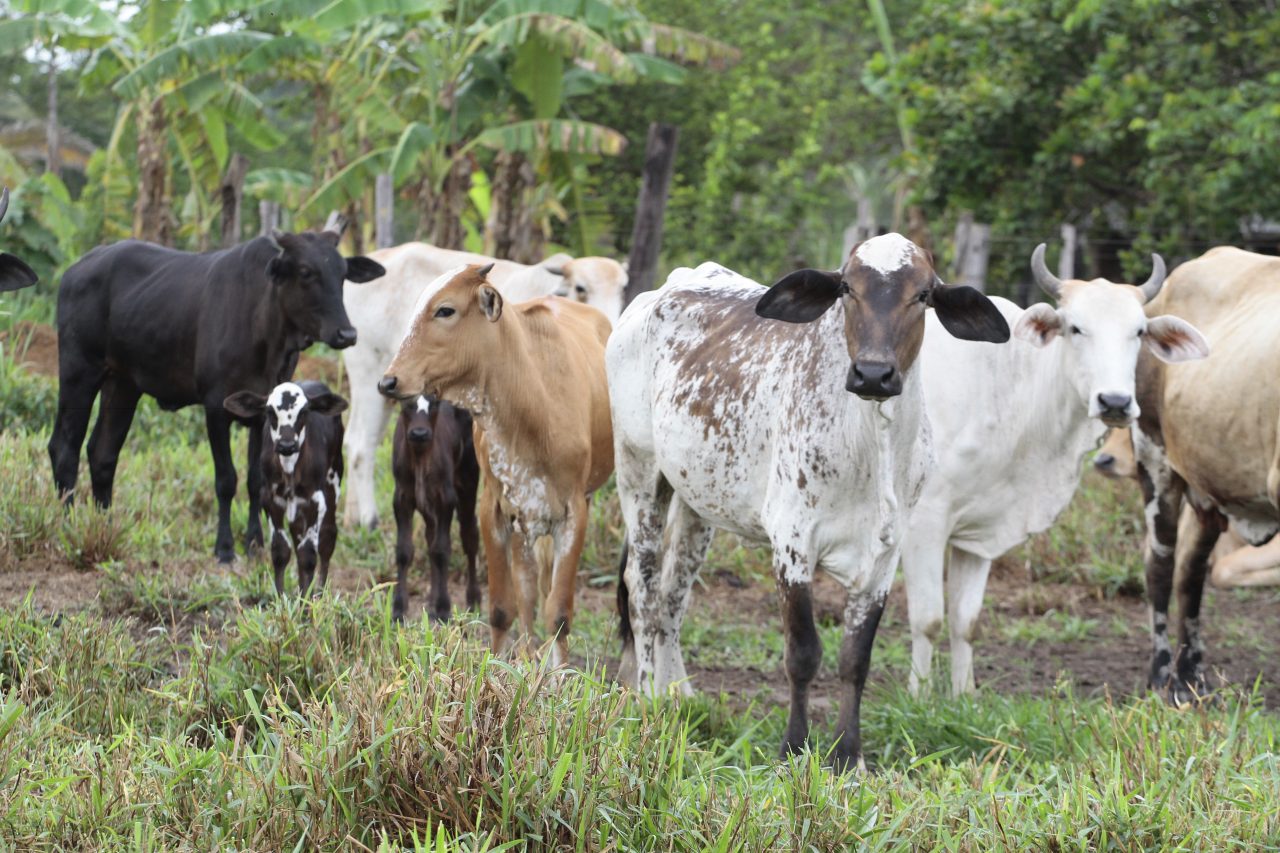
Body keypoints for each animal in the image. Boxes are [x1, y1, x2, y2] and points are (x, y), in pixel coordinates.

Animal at [48, 225, 384, 560]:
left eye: (342, 274)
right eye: (305, 272)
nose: (347, 333)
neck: (266, 328)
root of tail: (75, 270)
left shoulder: (262, 414)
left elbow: (254, 480)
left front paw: (254, 543)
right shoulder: (215, 408)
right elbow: (226, 479)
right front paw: (224, 547)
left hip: (123, 384)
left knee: (103, 454)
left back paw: (104, 526)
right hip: (79, 370)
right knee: (64, 448)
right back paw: (68, 526)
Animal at [389, 394, 481, 622]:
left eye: (434, 404)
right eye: (406, 403)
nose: (419, 433)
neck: (420, 458)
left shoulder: (446, 499)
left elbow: (441, 550)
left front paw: (443, 608)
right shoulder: (401, 499)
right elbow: (404, 551)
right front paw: (398, 609)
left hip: (469, 482)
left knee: (470, 537)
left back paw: (474, 599)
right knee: (430, 536)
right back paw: (431, 601)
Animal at [604, 233, 1013, 768]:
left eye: (923, 294)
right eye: (846, 288)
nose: (873, 374)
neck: (871, 444)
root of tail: (656, 293)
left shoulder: (885, 554)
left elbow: (855, 658)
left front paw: (848, 754)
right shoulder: (792, 541)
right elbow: (802, 653)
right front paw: (794, 747)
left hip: (697, 502)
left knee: (673, 595)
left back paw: (682, 698)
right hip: (640, 473)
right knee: (644, 590)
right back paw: (649, 697)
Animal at [1136, 244, 1280, 696]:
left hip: (1208, 491)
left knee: (1190, 570)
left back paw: (1191, 675)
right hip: (1155, 460)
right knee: (1161, 564)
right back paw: (1162, 673)